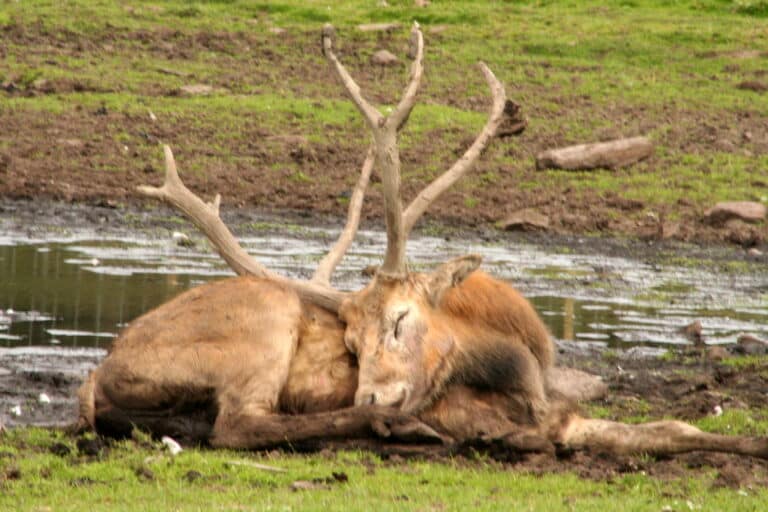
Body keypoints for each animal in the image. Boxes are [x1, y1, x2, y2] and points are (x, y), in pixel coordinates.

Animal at [76, 24, 768, 461]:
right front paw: (477, 437)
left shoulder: (565, 413)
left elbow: (677, 427)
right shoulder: (475, 411)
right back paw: (390, 427)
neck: (524, 373)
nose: (373, 390)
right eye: (350, 343)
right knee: (237, 425)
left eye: (403, 318)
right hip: (264, 318)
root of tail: (95, 376)